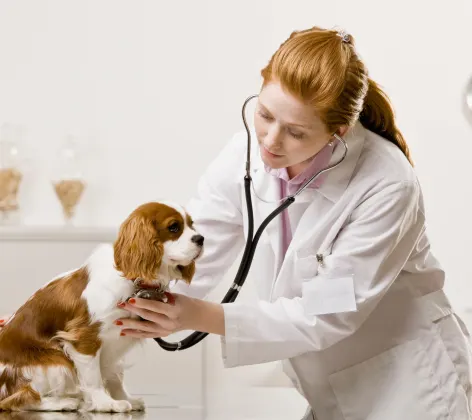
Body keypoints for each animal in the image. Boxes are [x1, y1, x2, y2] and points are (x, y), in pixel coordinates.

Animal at [0, 202, 203, 412]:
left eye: (192, 224)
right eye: (174, 227)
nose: (201, 239)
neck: (133, 279)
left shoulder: (117, 340)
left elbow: (114, 375)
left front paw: (124, 398)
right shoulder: (84, 338)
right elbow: (93, 378)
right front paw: (106, 403)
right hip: (55, 361)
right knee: (17, 399)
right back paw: (64, 402)